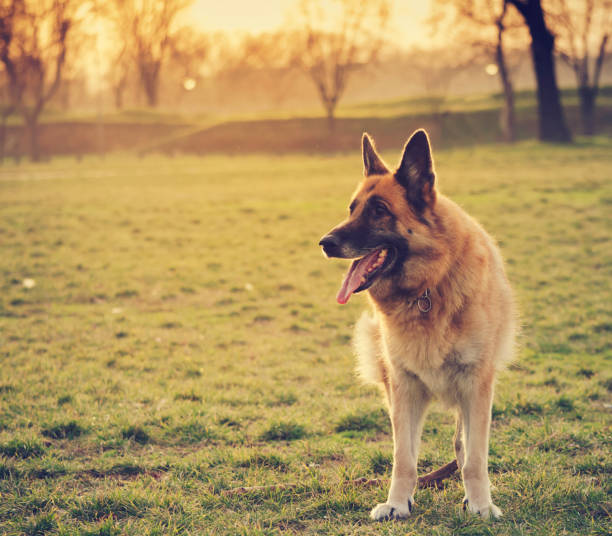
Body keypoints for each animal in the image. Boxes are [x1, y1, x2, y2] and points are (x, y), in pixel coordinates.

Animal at [320, 129, 516, 520]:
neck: (428, 287)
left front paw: (481, 504)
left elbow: (475, 458)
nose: (325, 243)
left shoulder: (477, 384)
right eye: (352, 209)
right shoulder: (404, 388)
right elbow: (404, 458)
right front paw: (398, 503)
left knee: (464, 444)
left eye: (379, 210)